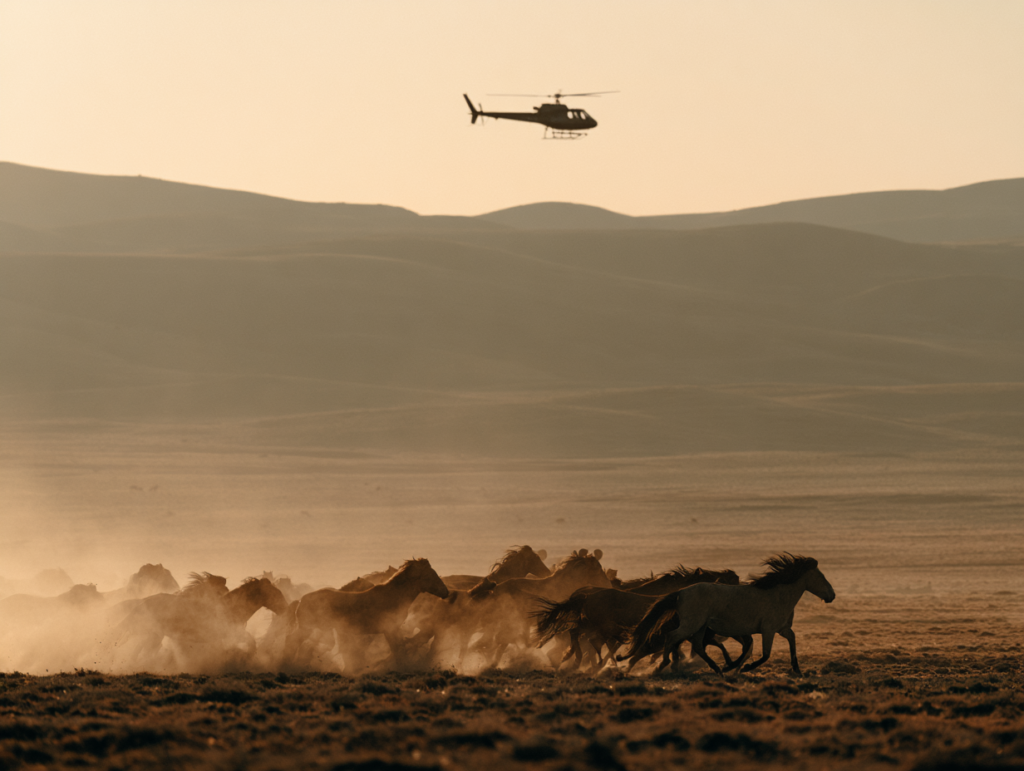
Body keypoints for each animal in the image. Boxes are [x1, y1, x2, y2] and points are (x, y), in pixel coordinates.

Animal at [284, 558, 448, 673]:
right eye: (430, 575)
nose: (446, 592)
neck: (393, 596)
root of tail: (301, 600)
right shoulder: (390, 629)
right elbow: (397, 649)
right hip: (307, 628)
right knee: (292, 641)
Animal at [533, 566, 740, 671]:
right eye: (726, 580)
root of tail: (586, 595)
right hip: (594, 625)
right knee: (577, 635)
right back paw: (578, 660)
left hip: (592, 625)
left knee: (577, 634)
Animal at [621, 554, 834, 676]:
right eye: (821, 577)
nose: (832, 595)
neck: (777, 595)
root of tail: (681, 592)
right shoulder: (768, 630)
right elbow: (764, 655)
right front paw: (744, 668)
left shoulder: (782, 629)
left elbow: (792, 642)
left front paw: (797, 670)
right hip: (691, 625)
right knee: (671, 637)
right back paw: (662, 666)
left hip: (700, 627)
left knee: (697, 646)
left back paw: (717, 669)